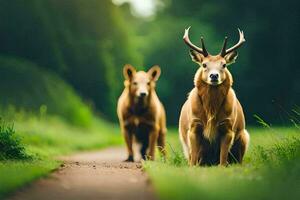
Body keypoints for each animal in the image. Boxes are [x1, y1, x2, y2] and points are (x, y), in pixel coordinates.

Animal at [179, 27, 250, 166]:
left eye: (224, 65)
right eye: (204, 64)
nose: (214, 76)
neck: (211, 109)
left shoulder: (228, 126)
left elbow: (223, 158)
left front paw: (222, 167)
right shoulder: (194, 125)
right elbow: (193, 158)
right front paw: (192, 167)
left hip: (244, 136)